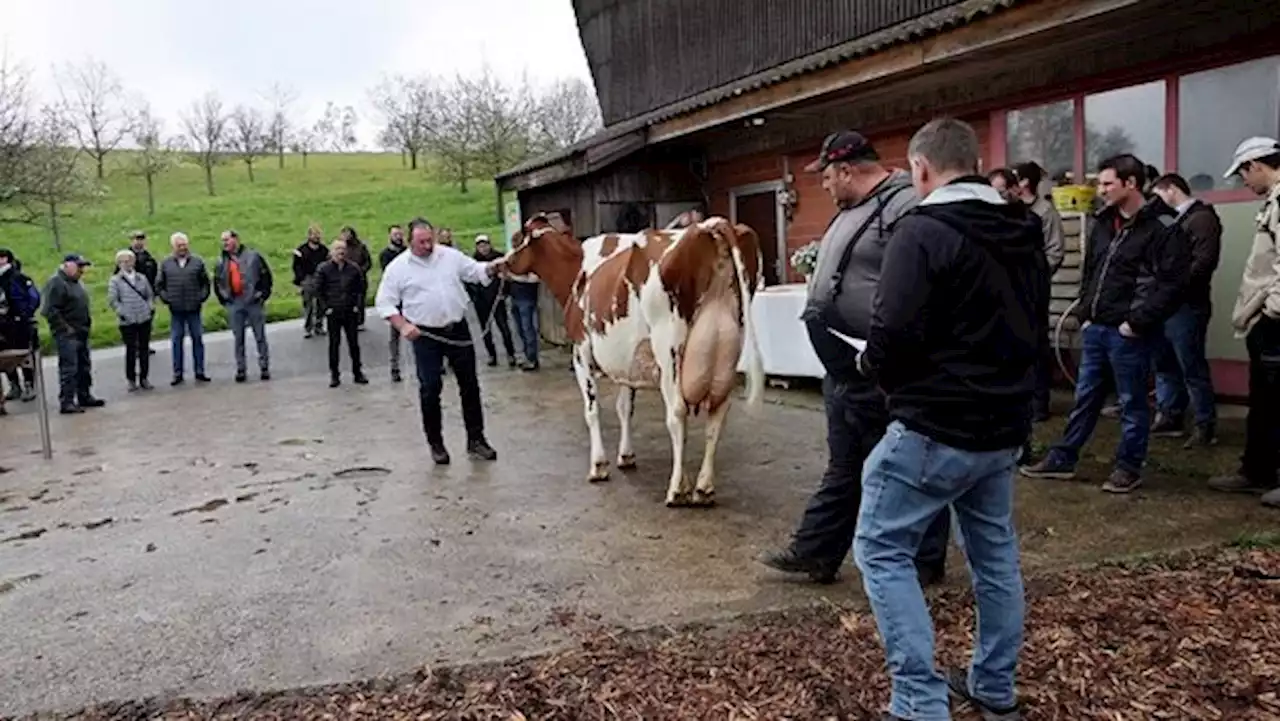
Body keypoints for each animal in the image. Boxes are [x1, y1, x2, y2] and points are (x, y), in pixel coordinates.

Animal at [504, 213, 762, 507]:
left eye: (518, 238)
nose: (500, 265)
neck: (576, 271)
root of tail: (710, 226)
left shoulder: (580, 352)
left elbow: (592, 411)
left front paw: (598, 466)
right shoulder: (626, 364)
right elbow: (625, 408)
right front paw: (626, 456)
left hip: (669, 350)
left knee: (677, 414)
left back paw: (677, 489)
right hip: (728, 352)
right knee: (717, 417)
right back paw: (703, 488)